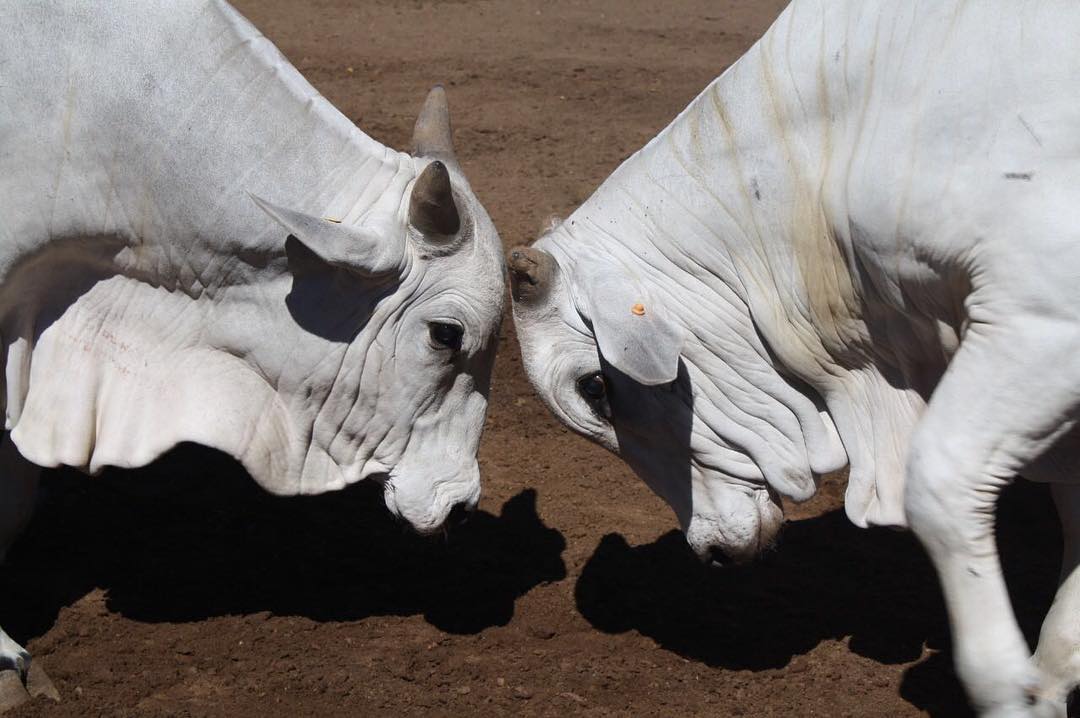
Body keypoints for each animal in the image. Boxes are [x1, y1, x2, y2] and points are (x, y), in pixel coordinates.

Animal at [509, 2, 1080, 712]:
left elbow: (941, 486)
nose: (712, 552)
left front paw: (1014, 689)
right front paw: (1054, 674)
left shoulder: (1043, 317)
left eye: (593, 386)